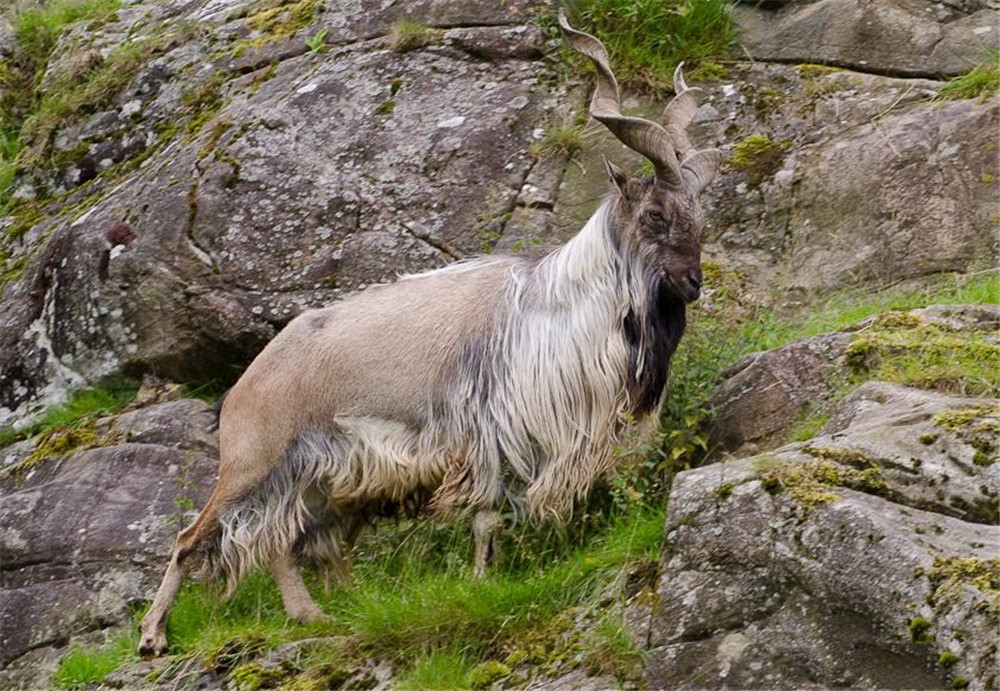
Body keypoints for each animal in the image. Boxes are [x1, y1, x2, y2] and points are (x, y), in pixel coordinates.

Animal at [137, 13, 724, 656]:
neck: (554, 308)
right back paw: (154, 636)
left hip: (311, 476)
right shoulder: (488, 430)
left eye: (700, 213)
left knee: (281, 542)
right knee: (194, 538)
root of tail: (246, 382)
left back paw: (316, 613)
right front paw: (481, 581)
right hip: (253, 459)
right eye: (655, 216)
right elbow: (486, 514)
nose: (693, 283)